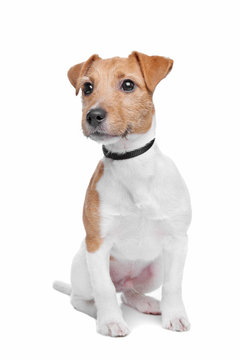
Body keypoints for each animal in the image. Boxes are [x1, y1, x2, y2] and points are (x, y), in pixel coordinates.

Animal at [53, 52, 192, 336]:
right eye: (87, 87)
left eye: (128, 85)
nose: (93, 116)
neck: (130, 163)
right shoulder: (97, 245)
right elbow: (104, 289)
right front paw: (110, 321)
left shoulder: (177, 241)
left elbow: (173, 285)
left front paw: (174, 316)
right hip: (83, 265)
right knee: (85, 297)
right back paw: (99, 312)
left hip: (155, 267)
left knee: (128, 292)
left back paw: (146, 302)